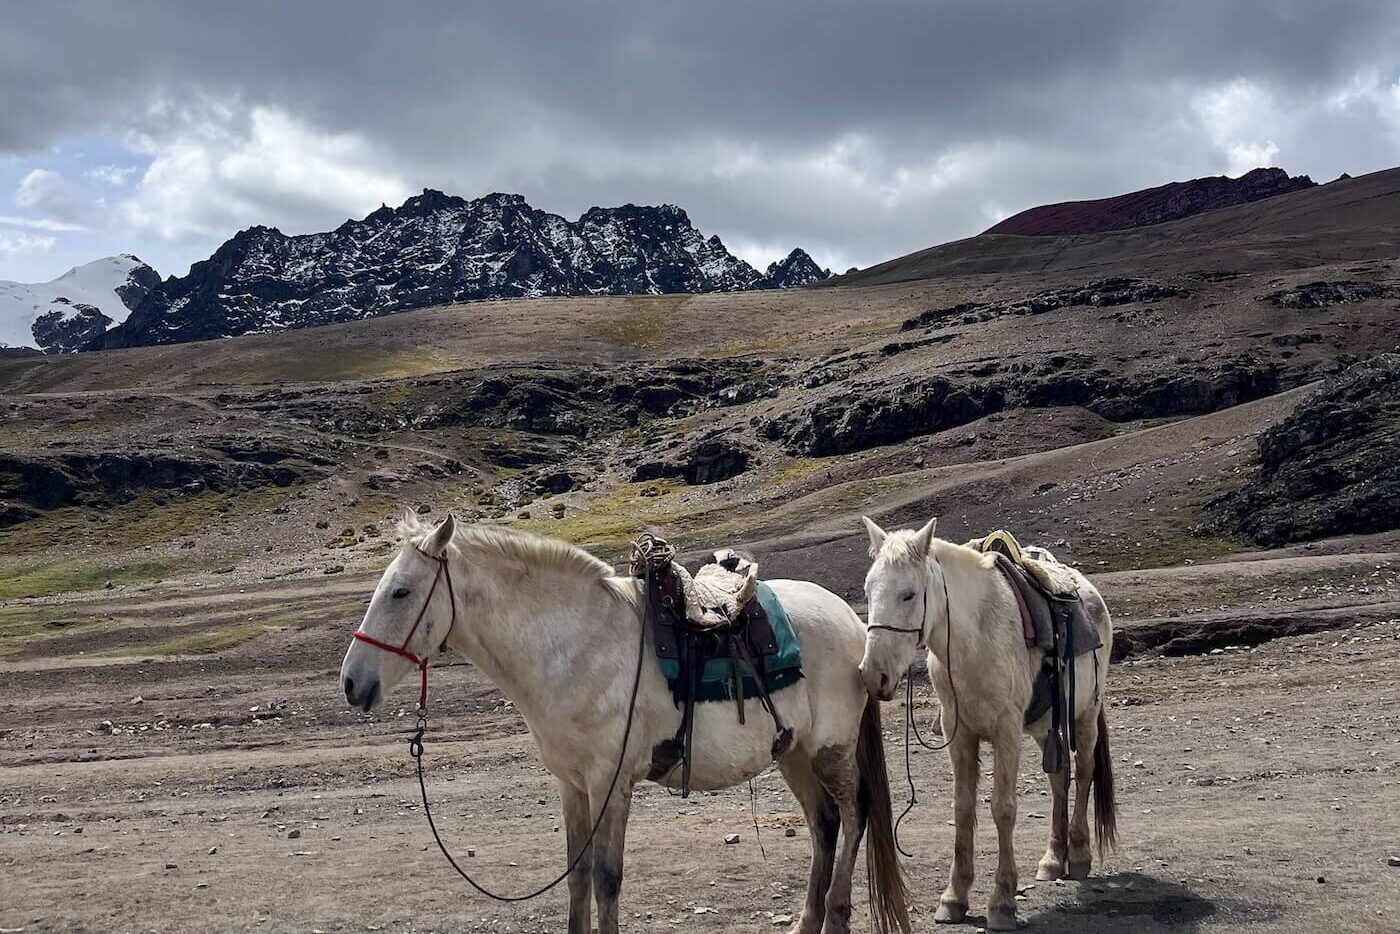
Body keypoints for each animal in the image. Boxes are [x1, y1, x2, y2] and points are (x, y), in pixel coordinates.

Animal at [339, 513, 911, 934]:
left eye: (400, 592)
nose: (352, 682)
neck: (574, 646)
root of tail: (853, 621)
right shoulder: (572, 784)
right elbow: (577, 876)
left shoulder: (609, 783)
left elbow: (607, 878)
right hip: (791, 751)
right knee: (824, 824)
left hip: (829, 750)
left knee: (854, 815)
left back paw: (837, 915)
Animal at [855, 516, 1117, 931]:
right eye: (868, 590)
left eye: (908, 594)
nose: (872, 675)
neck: (973, 641)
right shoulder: (959, 734)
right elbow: (963, 809)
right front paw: (953, 898)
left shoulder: (1006, 732)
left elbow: (1002, 808)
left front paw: (1002, 902)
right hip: (1044, 725)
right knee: (1059, 780)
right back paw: (1052, 859)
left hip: (1085, 715)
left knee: (1085, 773)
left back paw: (1077, 855)